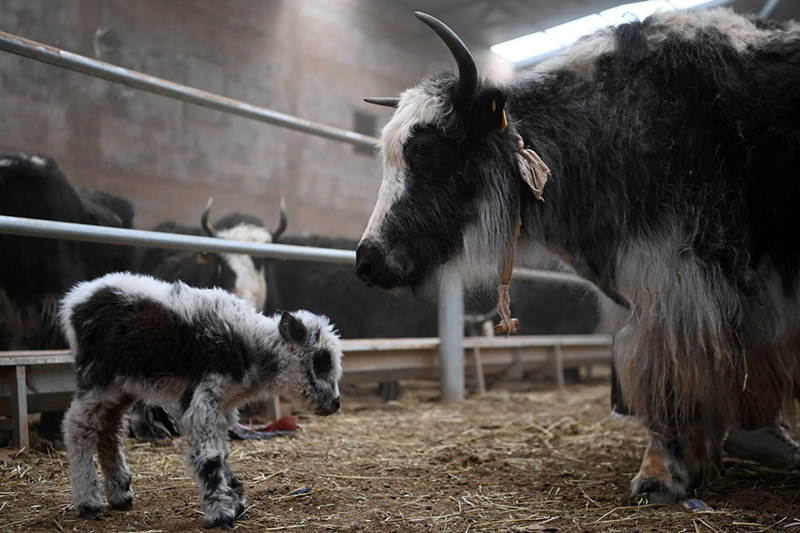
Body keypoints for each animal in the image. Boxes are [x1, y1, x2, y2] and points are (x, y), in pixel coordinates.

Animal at [58, 272, 340, 528]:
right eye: (321, 361)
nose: (335, 403)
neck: (252, 347)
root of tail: (76, 298)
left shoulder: (222, 404)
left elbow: (223, 451)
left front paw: (236, 500)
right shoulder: (203, 397)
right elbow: (210, 456)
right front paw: (221, 513)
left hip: (124, 385)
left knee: (109, 430)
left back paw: (121, 495)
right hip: (98, 377)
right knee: (78, 426)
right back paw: (88, 502)